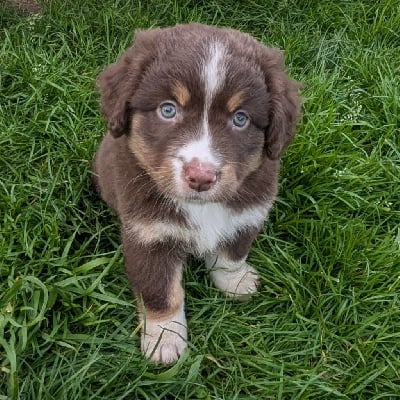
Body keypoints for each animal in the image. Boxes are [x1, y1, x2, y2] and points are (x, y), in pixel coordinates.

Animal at [93, 23, 300, 364]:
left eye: (240, 118)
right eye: (168, 110)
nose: (201, 176)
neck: (201, 207)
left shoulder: (246, 215)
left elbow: (231, 254)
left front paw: (236, 282)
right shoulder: (149, 236)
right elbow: (161, 293)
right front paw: (164, 339)